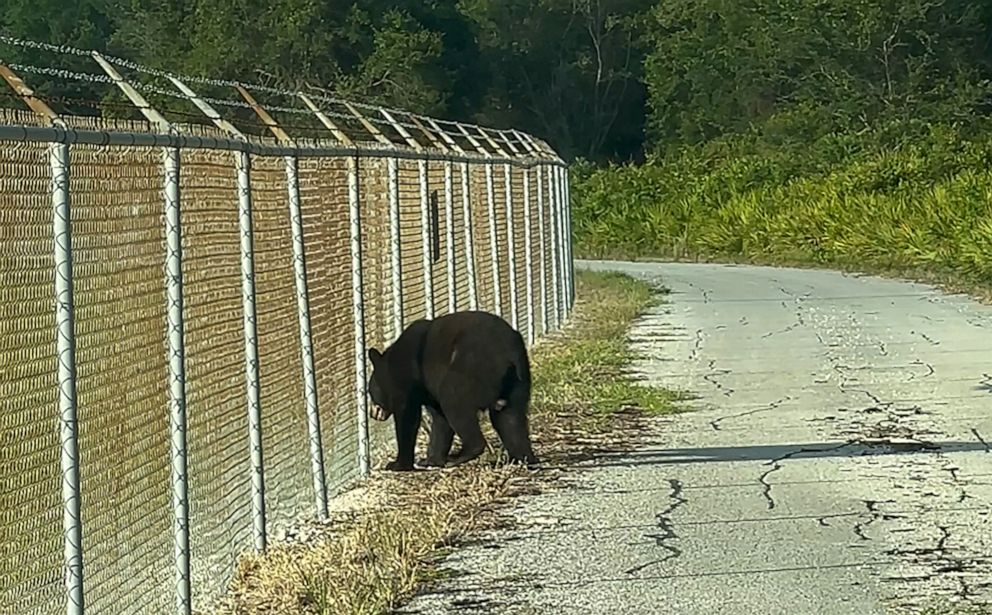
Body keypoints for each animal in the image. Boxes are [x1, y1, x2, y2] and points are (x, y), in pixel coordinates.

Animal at [366, 310, 540, 474]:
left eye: (370, 391)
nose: (372, 413)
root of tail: (509, 354)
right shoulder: (430, 392)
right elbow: (440, 421)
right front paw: (430, 460)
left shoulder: (407, 380)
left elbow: (408, 417)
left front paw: (398, 464)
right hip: (518, 382)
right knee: (510, 419)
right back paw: (523, 459)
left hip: (470, 367)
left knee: (454, 401)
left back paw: (458, 457)